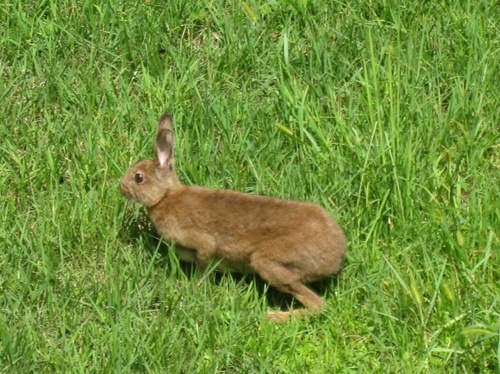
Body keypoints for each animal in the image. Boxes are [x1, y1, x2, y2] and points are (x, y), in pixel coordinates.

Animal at [121, 114, 348, 322]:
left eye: (138, 178)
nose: (121, 187)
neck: (166, 197)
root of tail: (337, 255)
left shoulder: (202, 242)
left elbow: (204, 259)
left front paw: (195, 287)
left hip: (270, 263)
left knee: (318, 305)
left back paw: (273, 316)